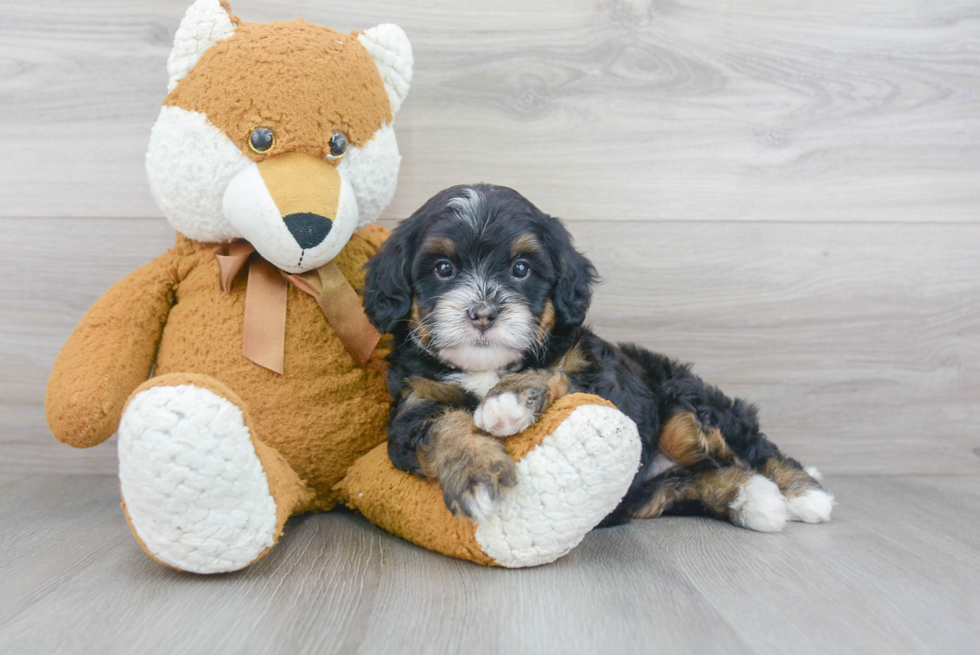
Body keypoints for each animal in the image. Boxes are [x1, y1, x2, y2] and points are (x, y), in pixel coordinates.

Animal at [362, 182, 836, 532]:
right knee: (707, 477)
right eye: (443, 269)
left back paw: (805, 493)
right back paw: (757, 501)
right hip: (651, 490)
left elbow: (554, 373)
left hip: (687, 403)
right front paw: (478, 474)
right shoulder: (414, 407)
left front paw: (507, 401)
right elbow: (445, 427)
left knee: (750, 445)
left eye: (521, 269)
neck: (487, 367)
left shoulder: (600, 377)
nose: (482, 313)